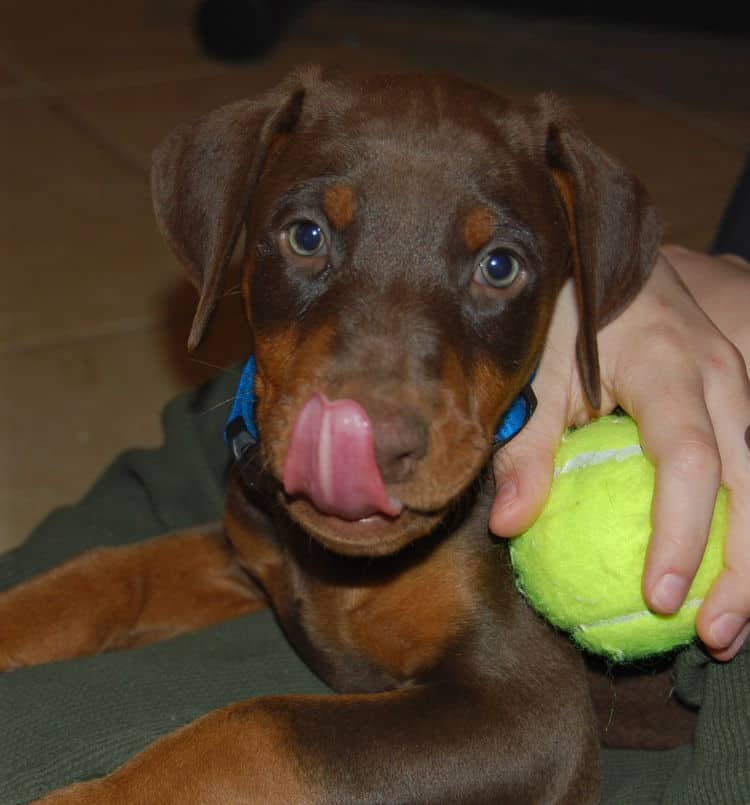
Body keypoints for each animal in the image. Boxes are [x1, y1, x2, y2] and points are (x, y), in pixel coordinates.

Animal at [1, 69, 668, 804]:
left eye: (500, 266)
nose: (370, 448)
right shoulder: (251, 542)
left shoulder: (530, 707)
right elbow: (107, 570)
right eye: (306, 234)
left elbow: (258, 724)